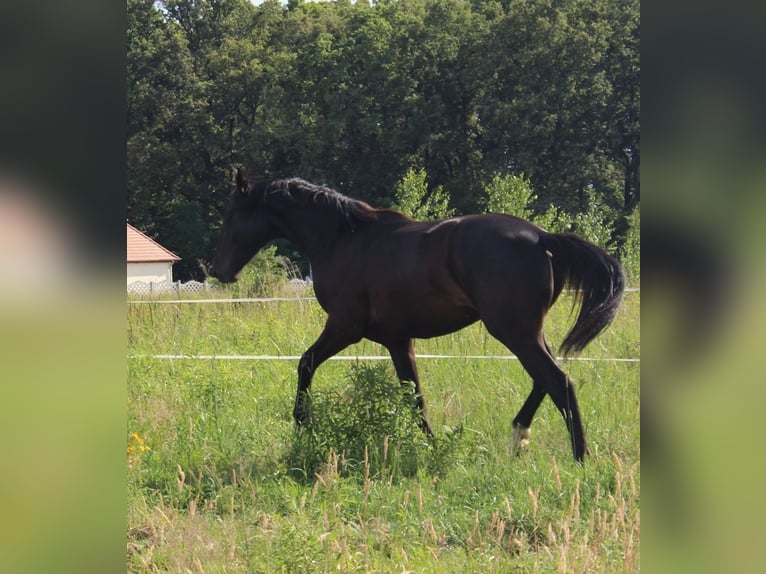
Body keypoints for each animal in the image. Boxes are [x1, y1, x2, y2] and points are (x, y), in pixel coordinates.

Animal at [208, 171, 624, 464]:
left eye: (230, 215)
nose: (220, 271)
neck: (343, 239)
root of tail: (542, 238)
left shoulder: (344, 326)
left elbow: (305, 362)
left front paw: (301, 424)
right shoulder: (397, 339)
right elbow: (414, 394)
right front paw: (430, 445)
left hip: (513, 330)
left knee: (559, 381)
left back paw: (580, 458)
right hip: (525, 331)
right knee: (547, 378)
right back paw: (519, 435)